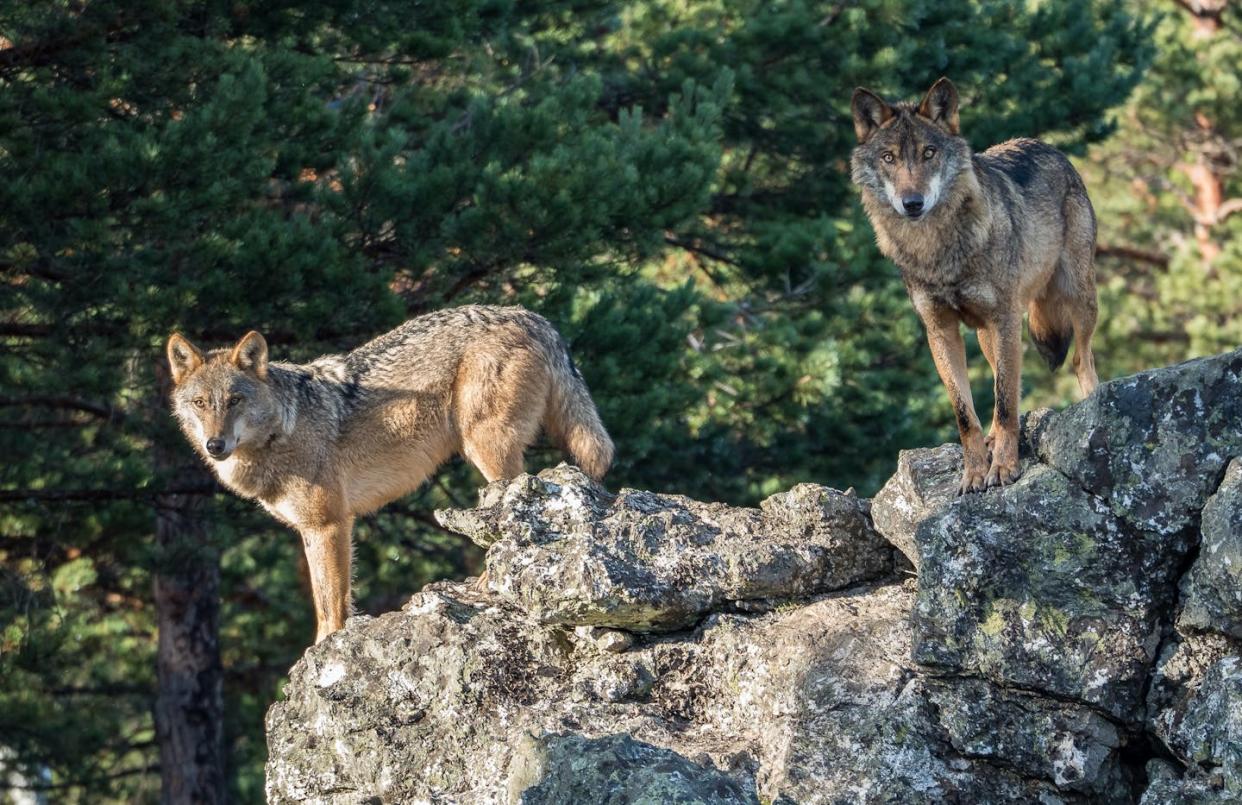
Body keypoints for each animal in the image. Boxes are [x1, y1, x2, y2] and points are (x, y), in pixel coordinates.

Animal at [165, 305, 611, 645]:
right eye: (201, 403)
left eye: (234, 400)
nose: (215, 445)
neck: (283, 429)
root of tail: (531, 316)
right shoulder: (314, 530)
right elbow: (331, 600)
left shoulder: (329, 524)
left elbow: (331, 605)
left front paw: (324, 654)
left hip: (486, 448)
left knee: (509, 518)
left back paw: (489, 583)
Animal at [849, 77, 1102, 489]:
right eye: (888, 157)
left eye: (929, 152)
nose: (912, 203)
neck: (938, 252)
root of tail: (1043, 143)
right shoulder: (940, 329)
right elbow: (965, 412)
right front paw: (974, 472)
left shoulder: (1006, 319)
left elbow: (1006, 403)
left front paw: (1003, 468)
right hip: (988, 334)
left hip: (1077, 297)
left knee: (1081, 360)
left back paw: (1094, 406)